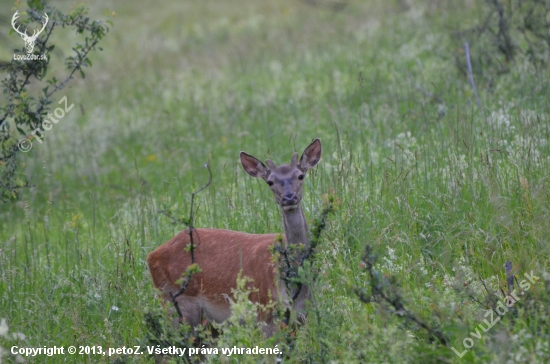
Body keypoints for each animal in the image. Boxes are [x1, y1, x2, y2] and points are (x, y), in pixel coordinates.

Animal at [147, 139, 324, 336]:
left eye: (300, 176)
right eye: (270, 181)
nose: (289, 198)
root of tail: (151, 255)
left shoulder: (300, 317)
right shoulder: (265, 313)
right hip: (177, 302)